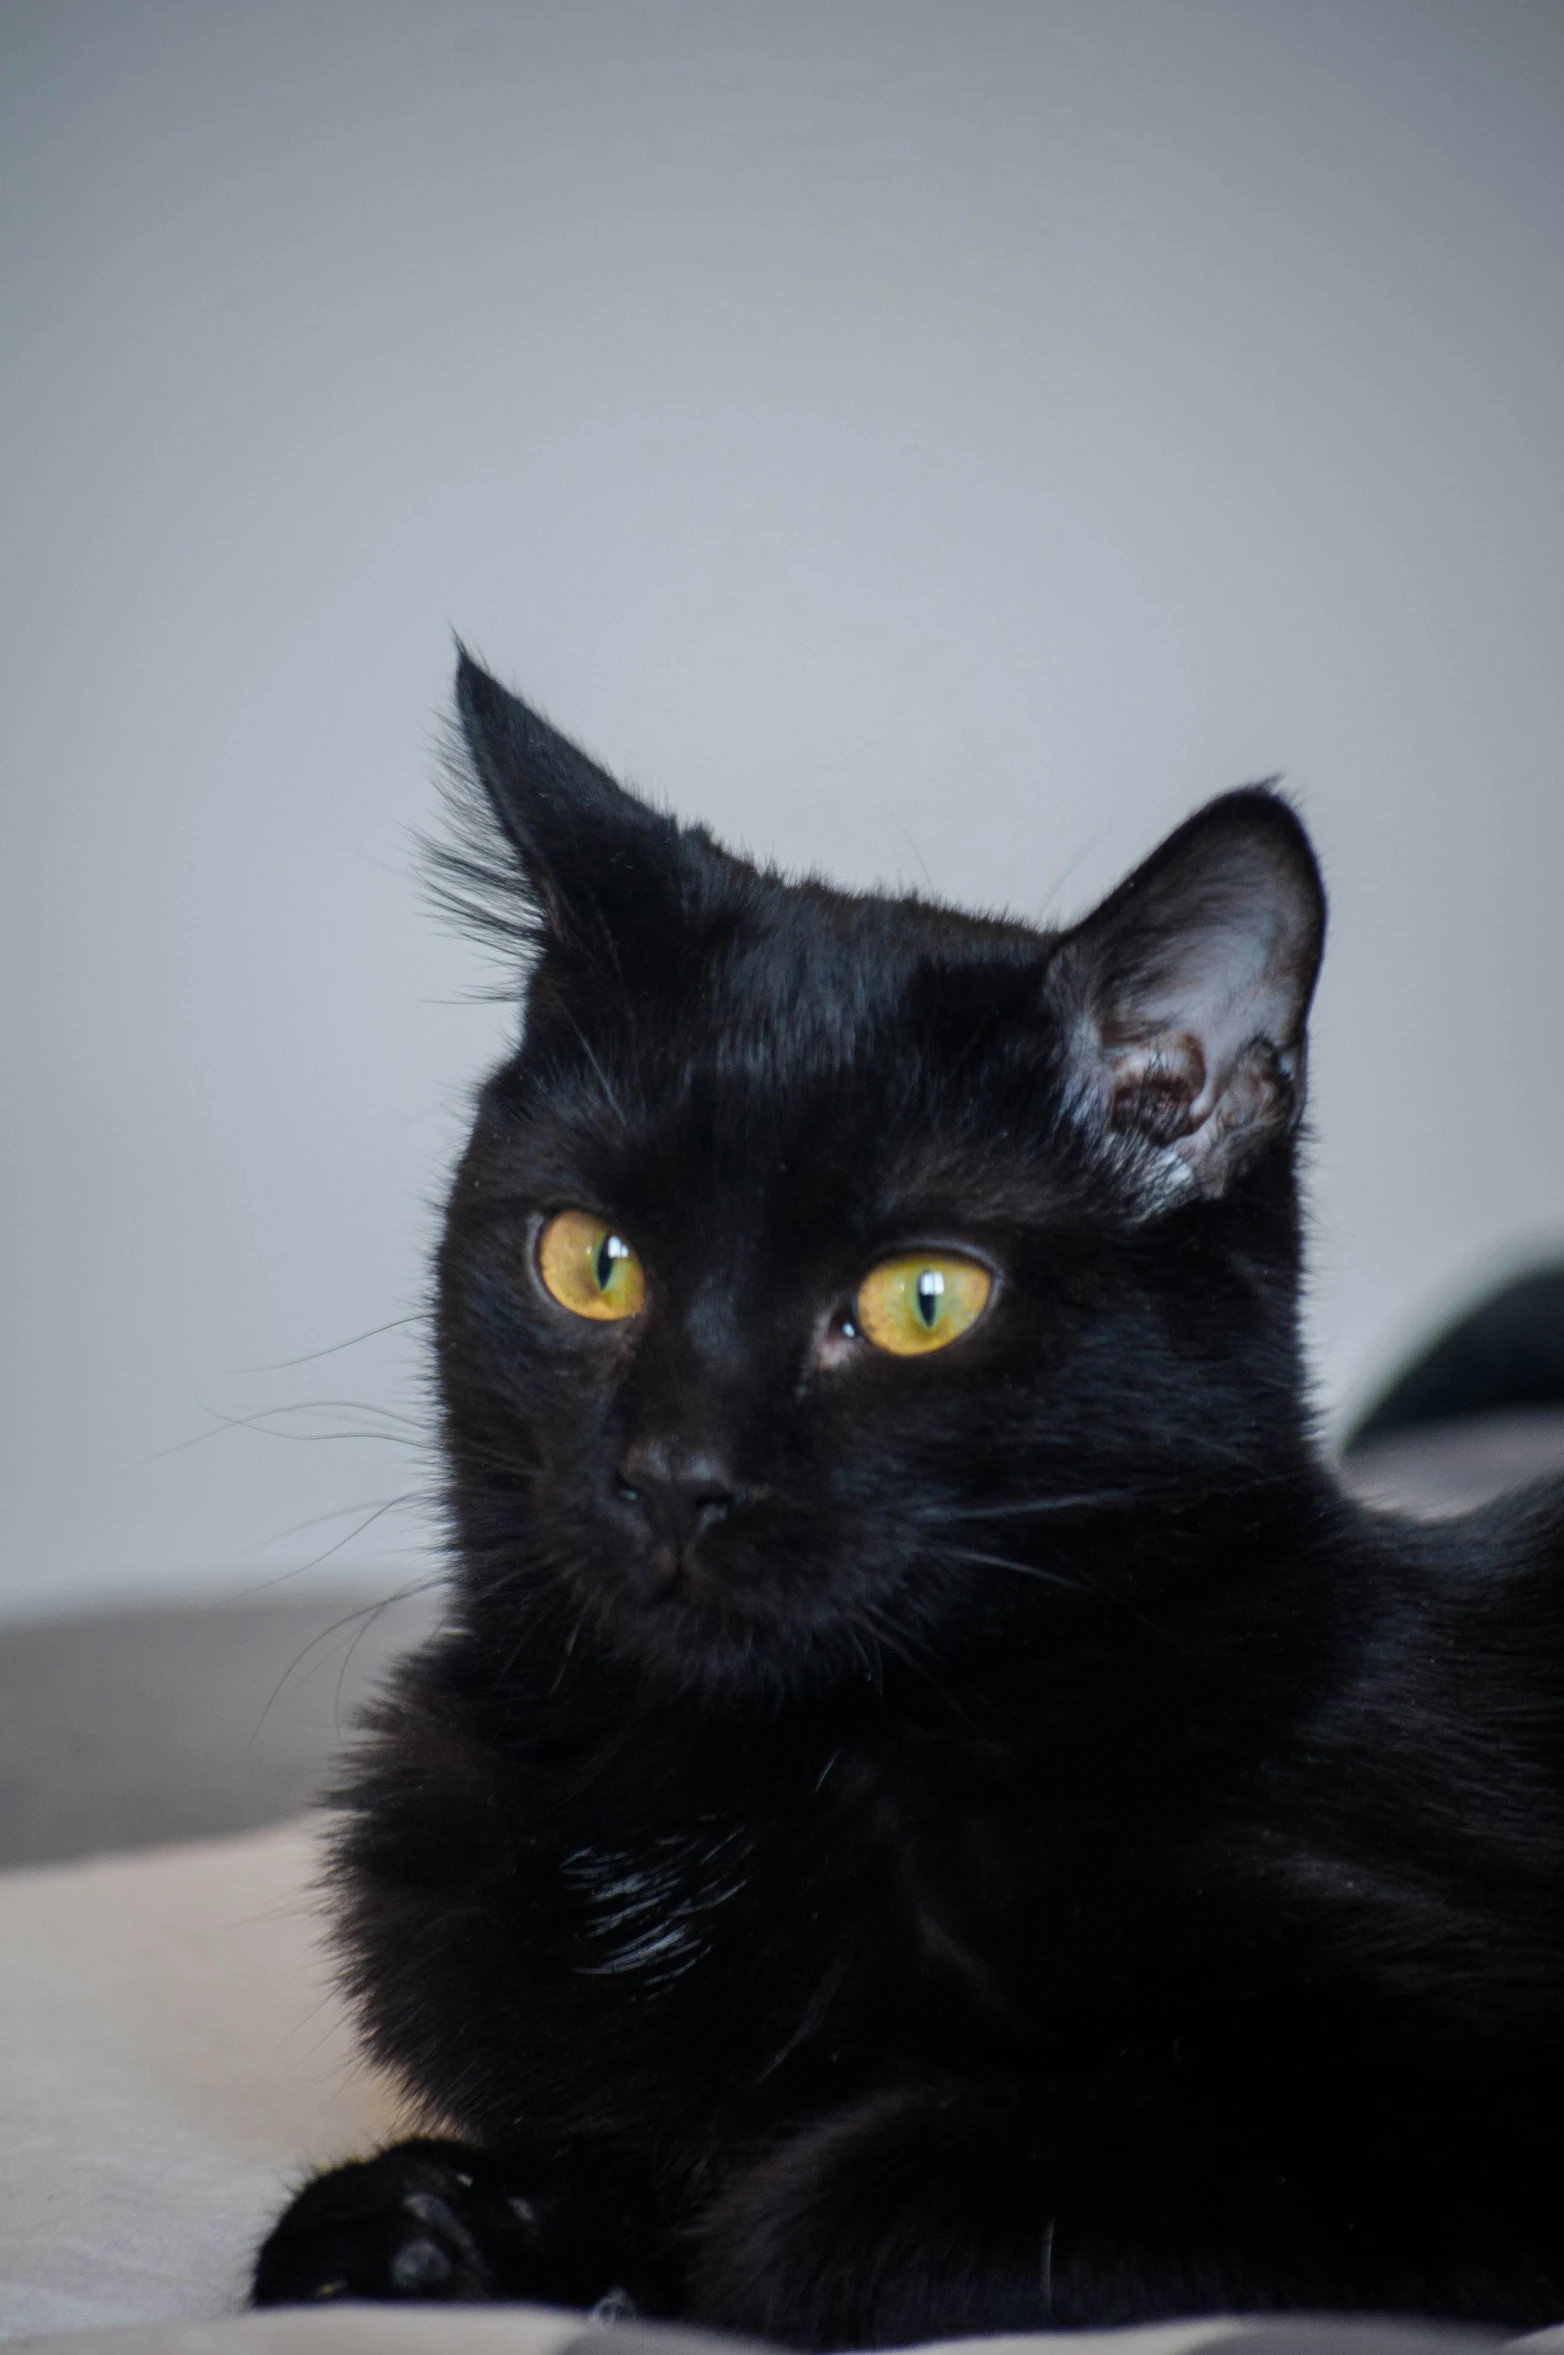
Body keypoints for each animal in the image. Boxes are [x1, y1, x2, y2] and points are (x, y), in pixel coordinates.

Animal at [250, 654, 1564, 2345]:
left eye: (921, 1297)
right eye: (592, 1259)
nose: (677, 1471)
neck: (726, 1777)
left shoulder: (1457, 2068)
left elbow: (825, 2201)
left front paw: (679, 2245)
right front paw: (423, 2220)